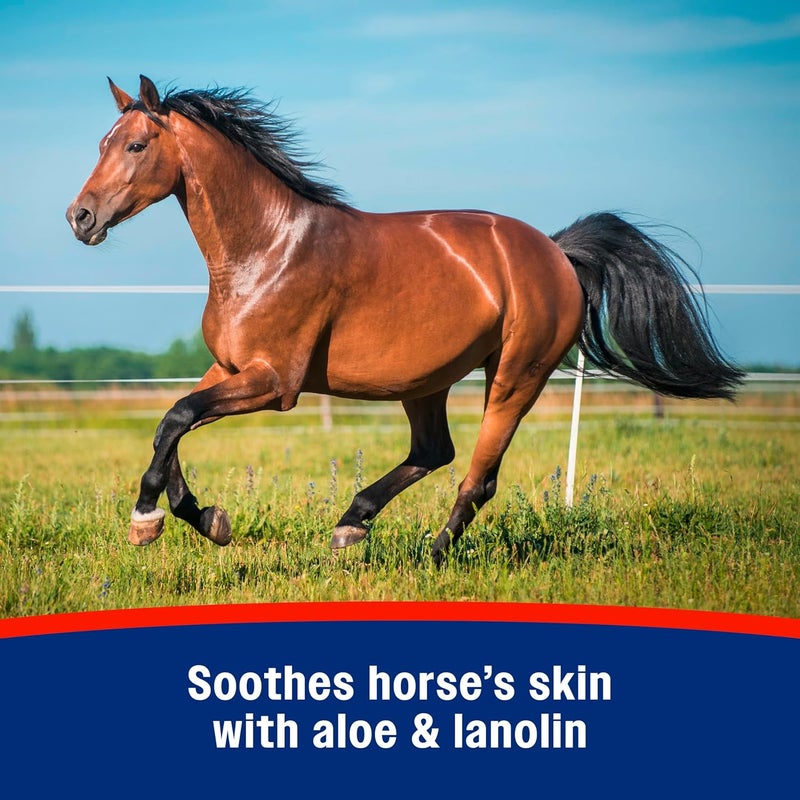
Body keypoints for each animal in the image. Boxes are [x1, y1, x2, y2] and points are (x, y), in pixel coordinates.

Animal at [66, 76, 743, 564]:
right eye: (100, 144)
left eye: (135, 145)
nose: (80, 216)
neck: (266, 247)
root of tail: (556, 253)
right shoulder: (229, 368)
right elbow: (171, 425)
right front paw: (204, 518)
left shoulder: (274, 382)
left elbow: (176, 417)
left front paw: (147, 520)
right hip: (425, 382)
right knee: (434, 451)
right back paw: (351, 525)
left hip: (517, 376)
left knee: (478, 476)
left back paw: (430, 553)